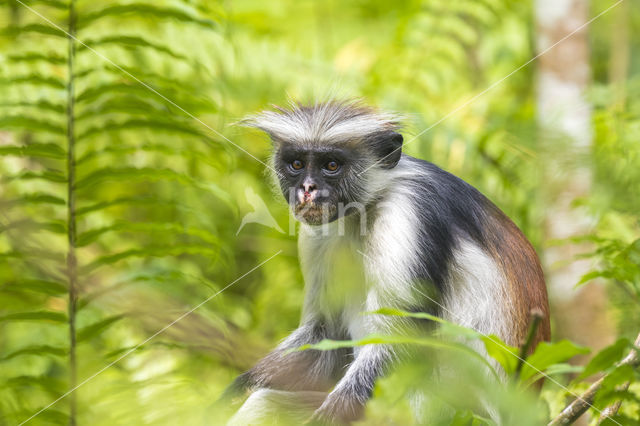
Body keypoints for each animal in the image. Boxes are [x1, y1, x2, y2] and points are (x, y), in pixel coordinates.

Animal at [221, 99, 552, 422]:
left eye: (331, 165)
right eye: (297, 164)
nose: (307, 189)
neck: (363, 210)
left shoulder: (408, 212)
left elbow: (403, 339)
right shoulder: (318, 234)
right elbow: (327, 334)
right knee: (263, 404)